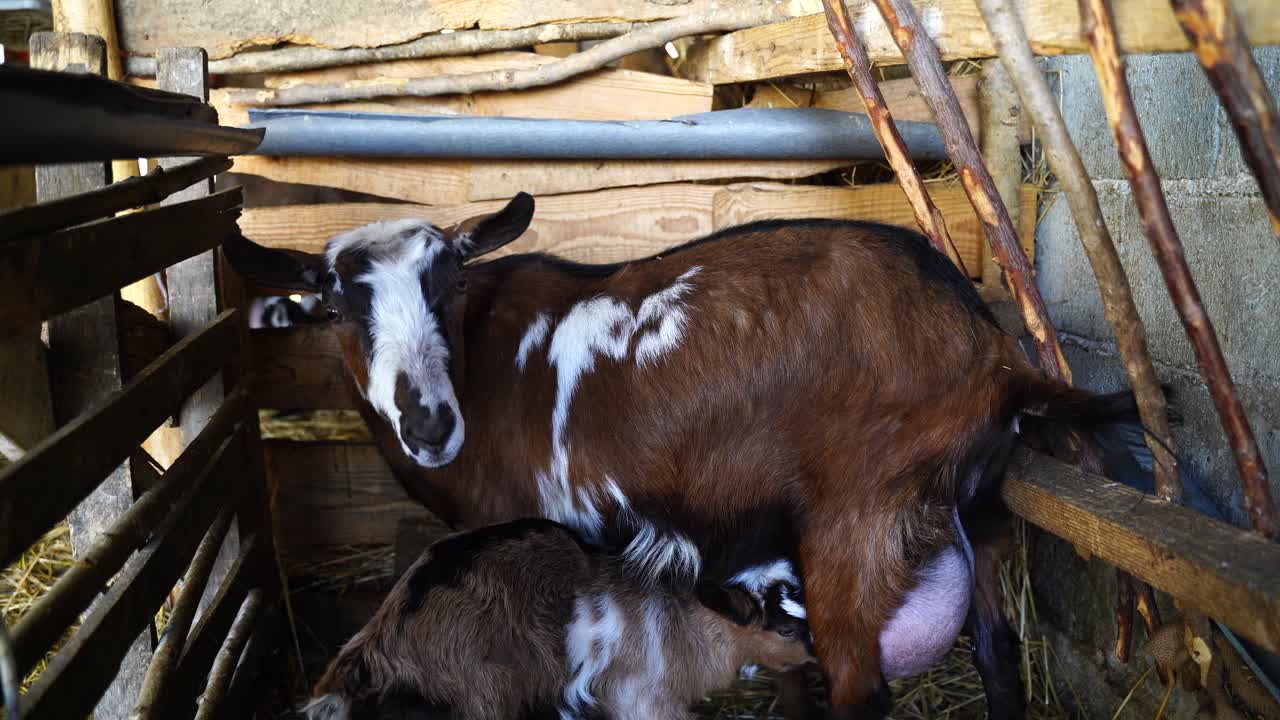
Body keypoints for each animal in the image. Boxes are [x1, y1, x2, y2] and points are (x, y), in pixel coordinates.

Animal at [304, 519, 814, 720]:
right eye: (787, 628)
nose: (816, 657)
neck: (682, 620)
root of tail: (381, 640)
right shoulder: (641, 697)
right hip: (477, 696)